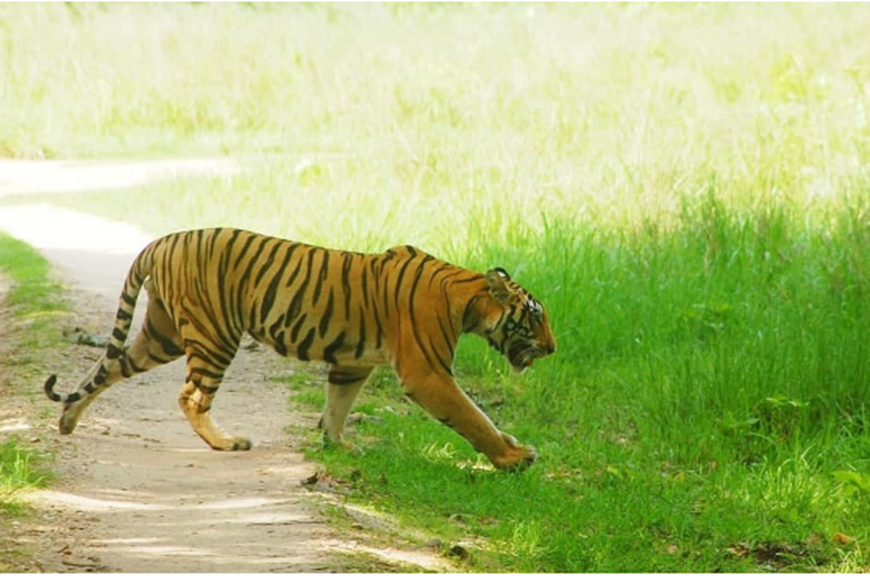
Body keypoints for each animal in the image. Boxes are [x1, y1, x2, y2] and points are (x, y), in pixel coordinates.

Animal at [43, 228, 555, 470]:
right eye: (535, 318)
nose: (552, 349)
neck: (466, 296)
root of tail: (162, 240)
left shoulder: (352, 363)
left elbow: (337, 405)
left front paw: (338, 444)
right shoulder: (427, 373)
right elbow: (473, 417)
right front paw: (513, 458)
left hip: (162, 335)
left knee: (105, 369)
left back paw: (67, 420)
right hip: (215, 334)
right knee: (190, 396)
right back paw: (227, 442)